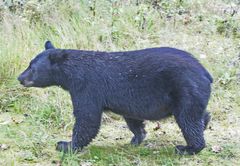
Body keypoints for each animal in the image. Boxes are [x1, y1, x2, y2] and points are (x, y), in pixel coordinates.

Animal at [18, 41, 212, 154]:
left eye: (31, 67)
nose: (20, 78)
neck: (71, 73)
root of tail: (205, 73)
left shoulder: (86, 87)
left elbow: (87, 118)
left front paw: (66, 145)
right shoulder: (129, 101)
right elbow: (133, 119)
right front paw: (136, 138)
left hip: (186, 91)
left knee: (188, 119)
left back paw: (189, 148)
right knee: (198, 115)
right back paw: (204, 123)